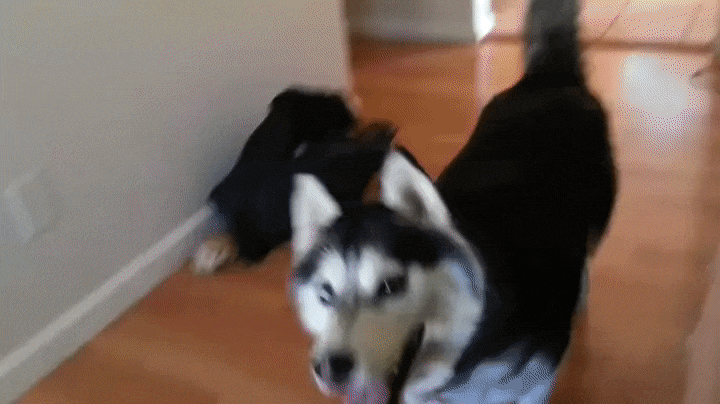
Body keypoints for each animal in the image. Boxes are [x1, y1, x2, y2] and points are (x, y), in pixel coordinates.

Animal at [287, 0, 616, 401]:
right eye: (325, 293)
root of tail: (547, 79)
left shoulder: (536, 383)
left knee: (586, 253)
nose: (330, 367)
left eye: (390, 286)